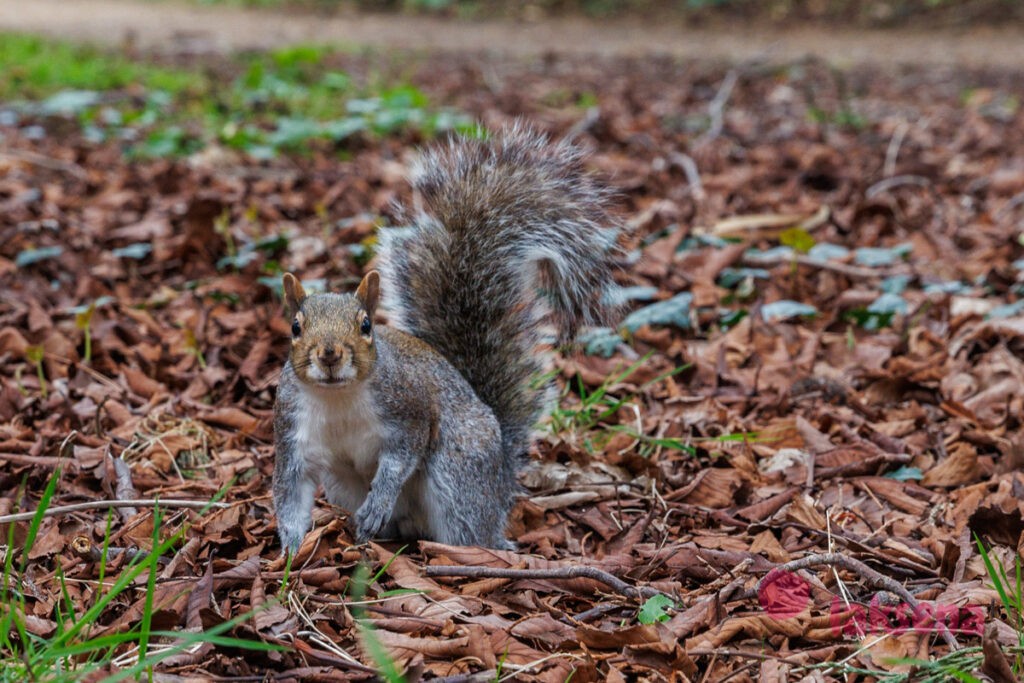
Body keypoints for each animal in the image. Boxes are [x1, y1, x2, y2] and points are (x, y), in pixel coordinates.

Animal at [272, 125, 618, 552]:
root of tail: (499, 483)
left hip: (457, 472)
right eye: (296, 327)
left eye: (366, 325)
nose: (330, 354)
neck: (338, 398)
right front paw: (290, 548)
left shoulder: (409, 410)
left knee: (468, 530)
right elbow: (290, 493)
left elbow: (400, 459)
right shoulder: (292, 433)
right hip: (344, 484)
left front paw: (377, 502)